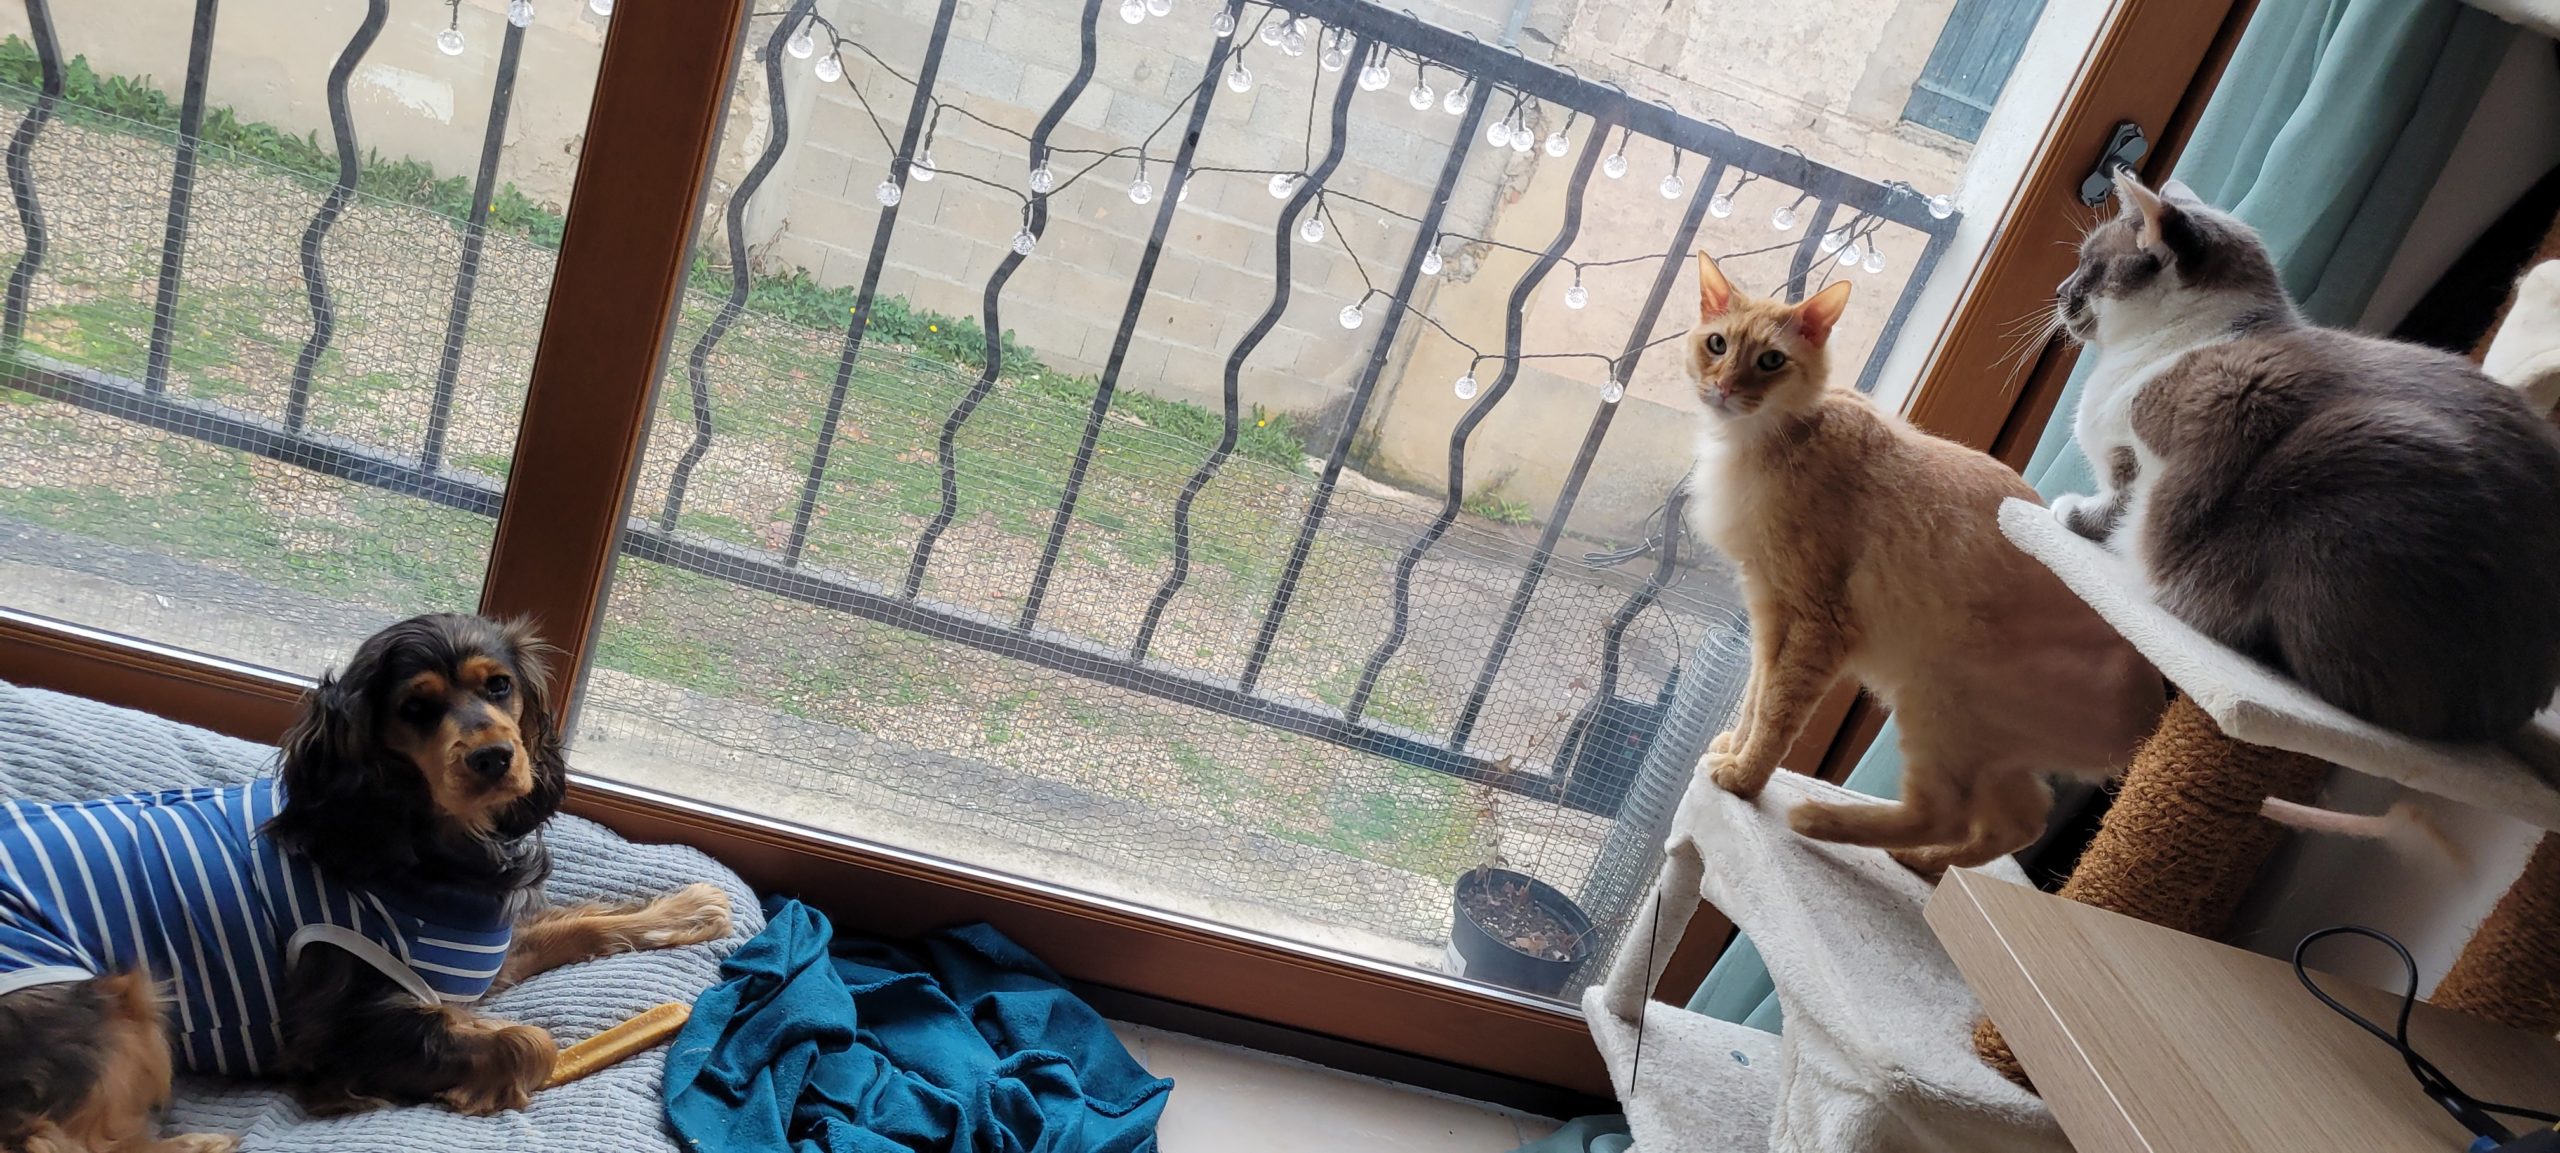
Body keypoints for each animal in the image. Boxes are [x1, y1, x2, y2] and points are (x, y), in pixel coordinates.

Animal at [1689, 256, 2170, 871]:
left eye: (1771, 361)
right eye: (1717, 345)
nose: (1725, 387)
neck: (1776, 437)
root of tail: (2153, 710)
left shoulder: (1815, 626)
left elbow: (1775, 715)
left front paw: (1744, 779)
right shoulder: (1770, 616)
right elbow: (1754, 699)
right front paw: (1733, 748)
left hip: (1936, 703)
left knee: (1947, 813)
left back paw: (1821, 821)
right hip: (1985, 745)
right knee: (2018, 823)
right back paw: (1925, 863)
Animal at [2048, 166, 2560, 743]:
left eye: (2089, 265)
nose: (2059, 290)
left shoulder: (2164, 446)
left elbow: (2118, 503)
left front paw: (2072, 513)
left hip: (2347, 462)